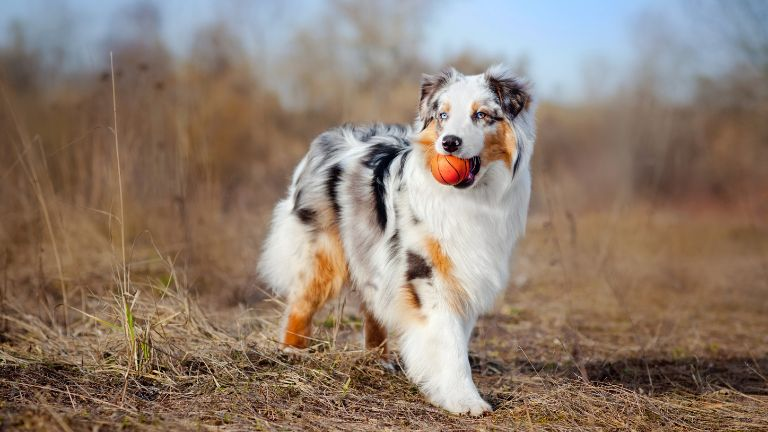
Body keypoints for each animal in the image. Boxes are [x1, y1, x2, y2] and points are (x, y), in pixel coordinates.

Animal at [258, 65, 536, 416]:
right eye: (443, 115)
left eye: (482, 115)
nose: (449, 143)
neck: (471, 198)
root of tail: (327, 138)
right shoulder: (426, 273)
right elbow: (449, 342)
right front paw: (465, 400)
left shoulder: (464, 273)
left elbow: (456, 337)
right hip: (324, 252)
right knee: (302, 302)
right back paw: (292, 351)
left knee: (371, 303)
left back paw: (379, 359)